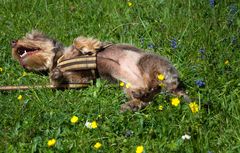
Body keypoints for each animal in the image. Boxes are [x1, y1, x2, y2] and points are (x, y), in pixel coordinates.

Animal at [11, 30, 189, 112]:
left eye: (33, 36)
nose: (12, 41)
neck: (60, 59)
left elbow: (78, 41)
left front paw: (91, 45)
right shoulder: (80, 79)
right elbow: (62, 79)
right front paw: (54, 76)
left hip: (148, 63)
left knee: (158, 84)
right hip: (127, 87)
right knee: (149, 97)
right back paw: (134, 101)